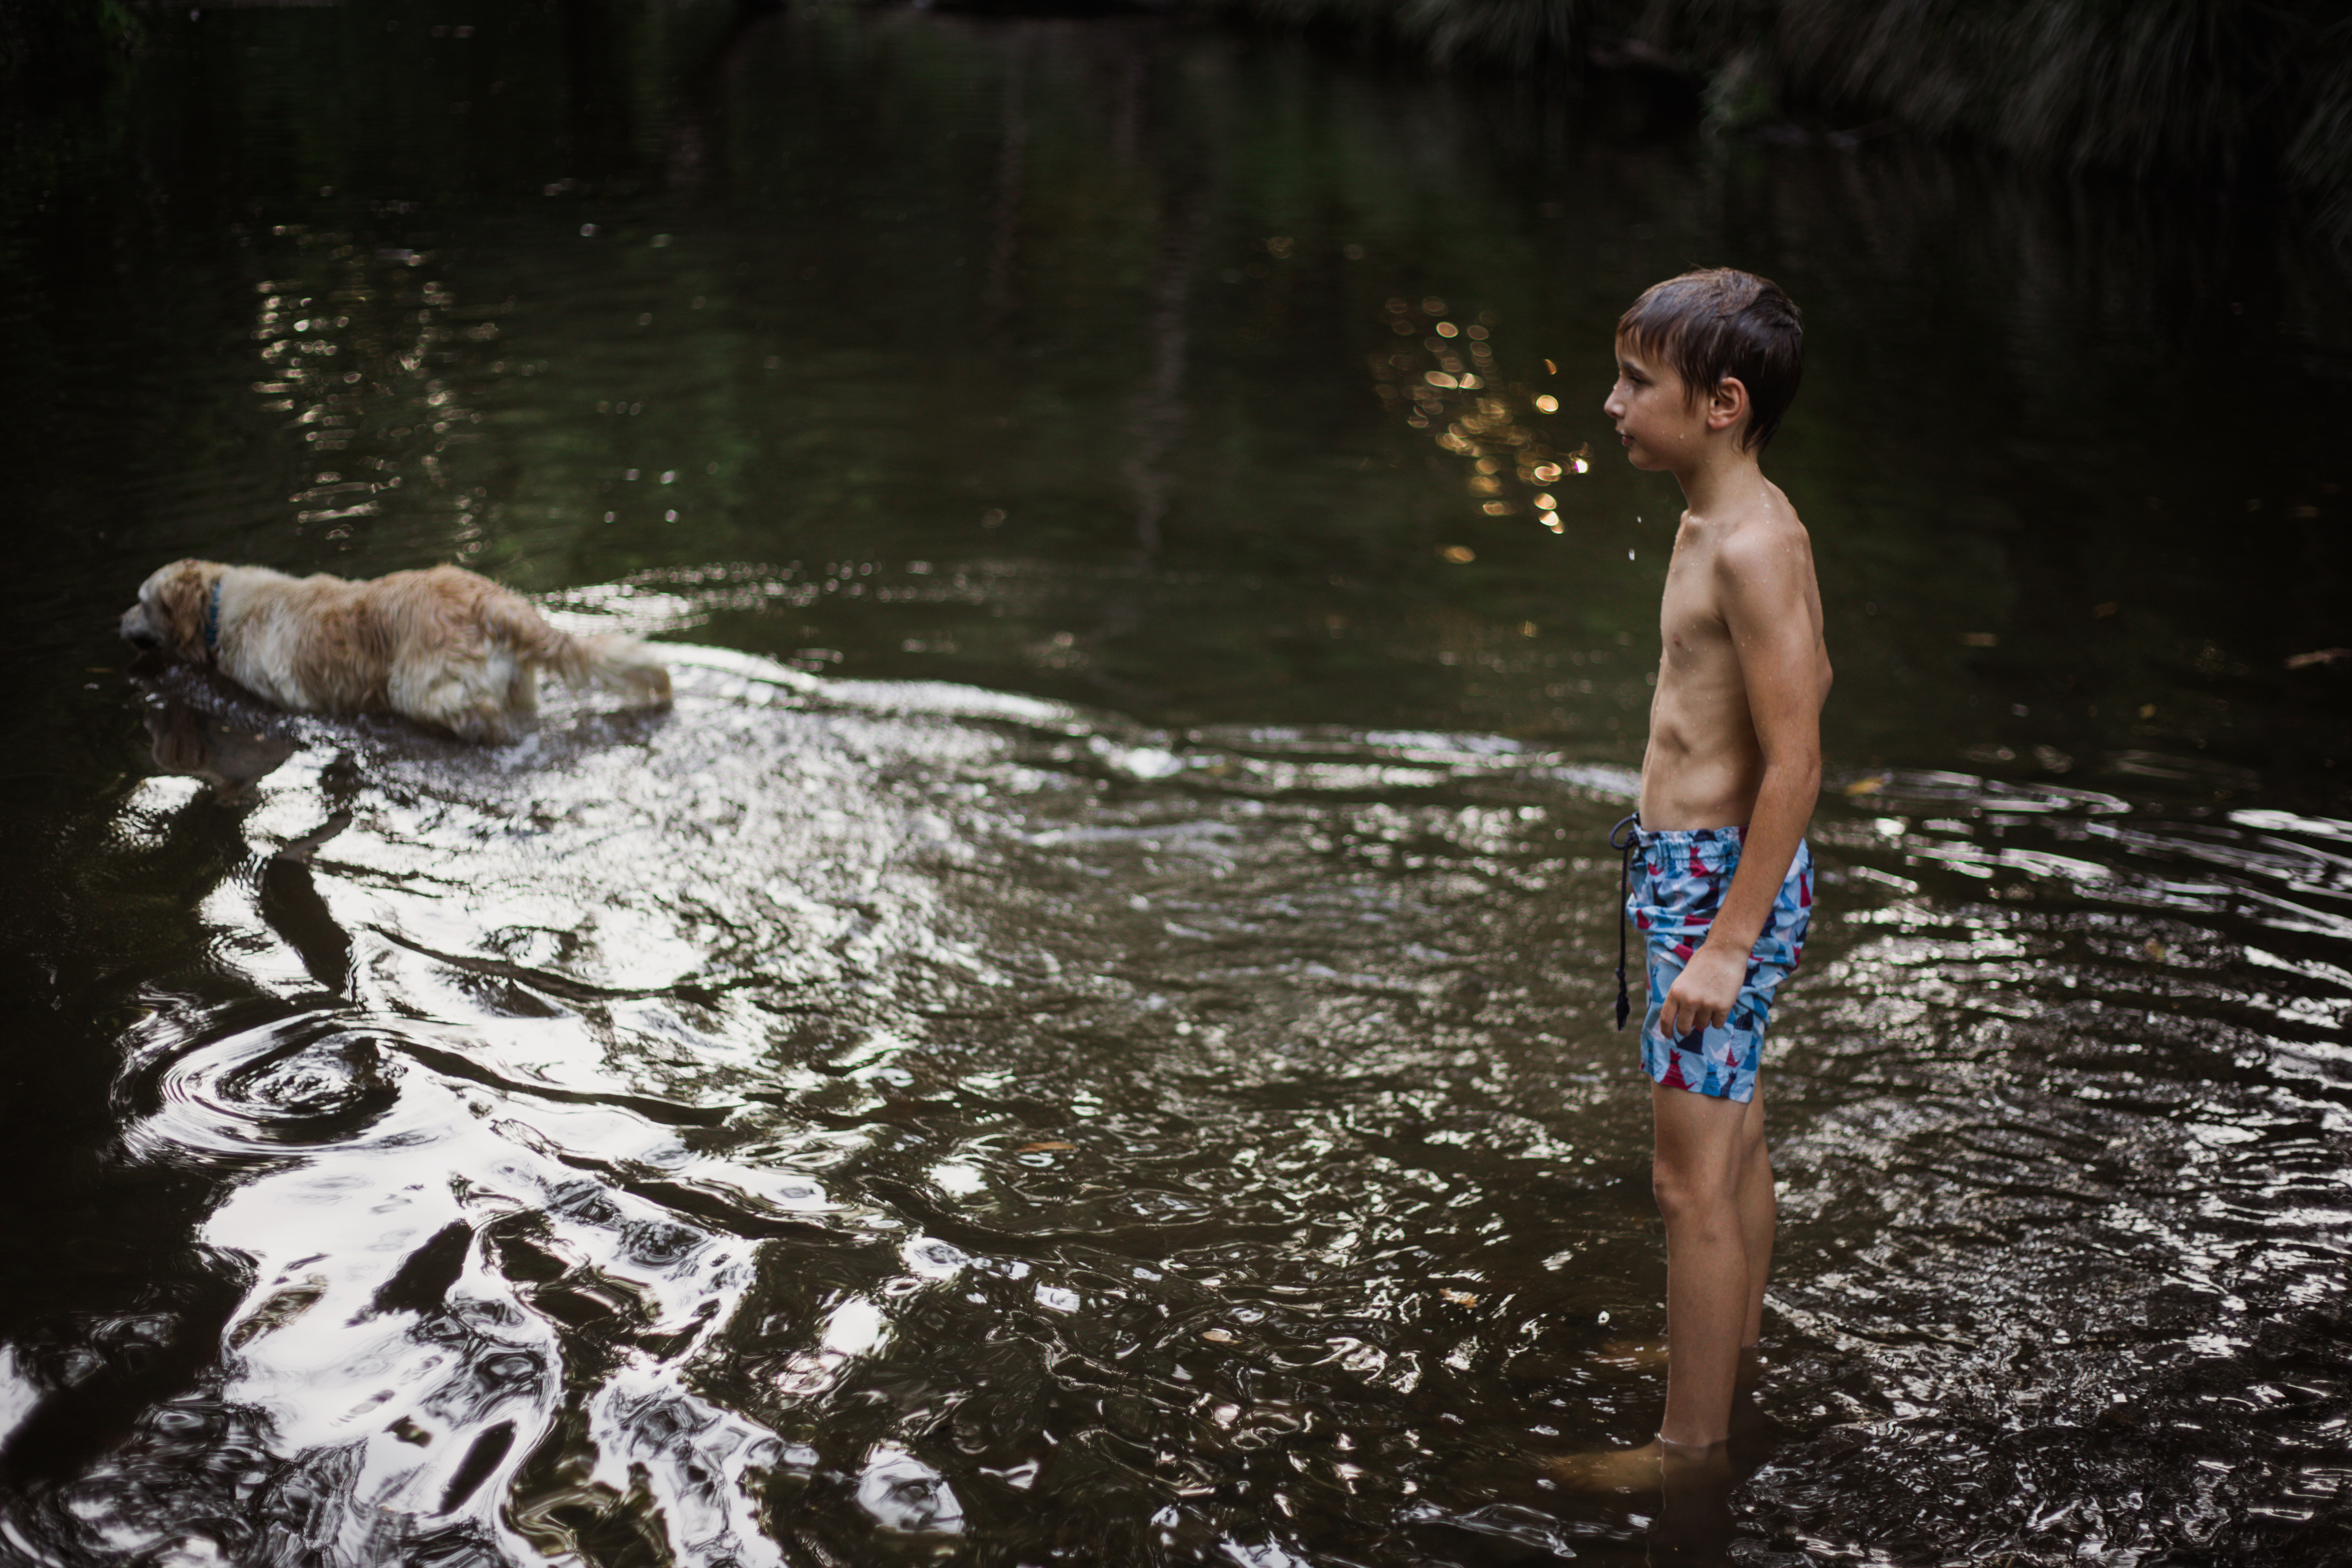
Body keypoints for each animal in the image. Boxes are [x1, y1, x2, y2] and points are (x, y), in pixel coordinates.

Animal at [120, 557, 672, 743]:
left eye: (141, 600)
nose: (117, 620)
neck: (220, 608)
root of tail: (488, 598)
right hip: (520, 685)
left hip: (417, 688)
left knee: (470, 711)